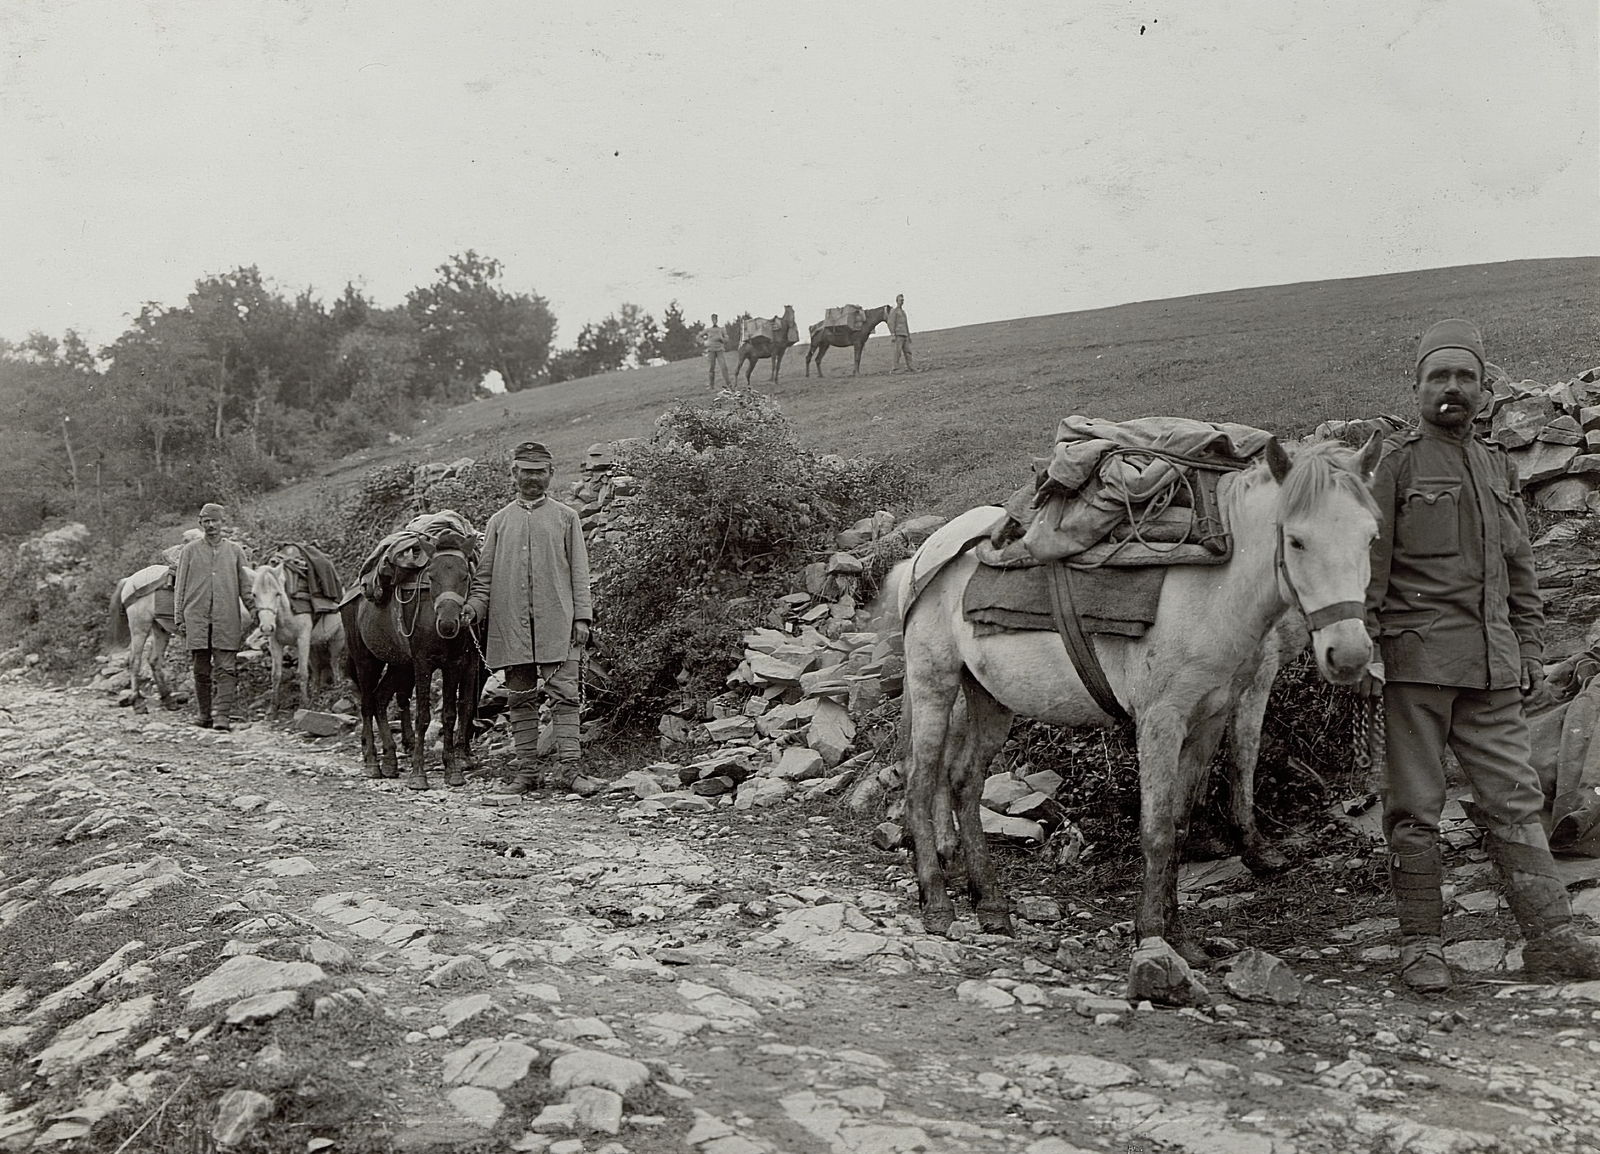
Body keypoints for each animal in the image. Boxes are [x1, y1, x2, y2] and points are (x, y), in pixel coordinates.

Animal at [252, 560, 347, 717]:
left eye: (277, 594)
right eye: (254, 594)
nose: (266, 628)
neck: (286, 614)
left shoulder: (302, 640)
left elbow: (302, 673)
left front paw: (305, 704)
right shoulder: (275, 644)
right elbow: (276, 675)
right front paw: (273, 708)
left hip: (337, 640)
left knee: (334, 663)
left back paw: (337, 687)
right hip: (313, 645)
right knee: (316, 667)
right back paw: (315, 690)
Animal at [347, 547, 476, 784]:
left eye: (465, 576)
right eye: (431, 577)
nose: (448, 624)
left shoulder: (454, 665)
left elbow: (450, 715)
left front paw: (453, 770)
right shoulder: (422, 664)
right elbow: (423, 717)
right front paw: (418, 774)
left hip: (400, 665)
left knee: (380, 698)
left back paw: (390, 760)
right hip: (366, 661)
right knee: (367, 704)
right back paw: (372, 763)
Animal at [896, 435, 1382, 960]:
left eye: (1371, 538)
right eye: (1295, 540)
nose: (1350, 654)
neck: (1216, 591)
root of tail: (927, 550)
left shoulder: (1209, 719)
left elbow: (1182, 822)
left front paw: (1181, 939)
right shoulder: (1161, 720)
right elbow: (1157, 828)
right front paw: (1151, 933)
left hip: (990, 698)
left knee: (965, 782)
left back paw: (990, 904)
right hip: (934, 683)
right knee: (920, 784)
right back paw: (938, 904)